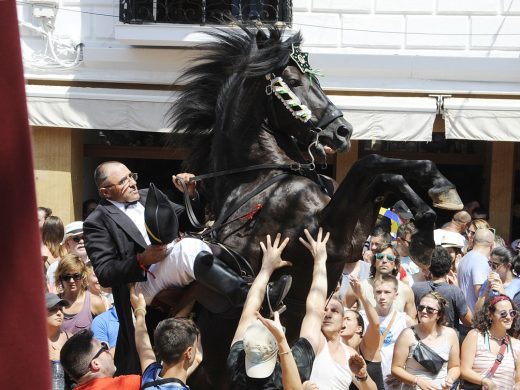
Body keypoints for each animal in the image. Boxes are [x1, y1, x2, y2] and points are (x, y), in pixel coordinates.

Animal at [169, 26, 462, 386]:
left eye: (316, 80)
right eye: (293, 82)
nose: (343, 131)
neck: (263, 177)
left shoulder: (348, 243)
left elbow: (384, 174)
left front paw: (434, 204)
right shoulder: (325, 235)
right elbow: (370, 164)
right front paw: (428, 218)